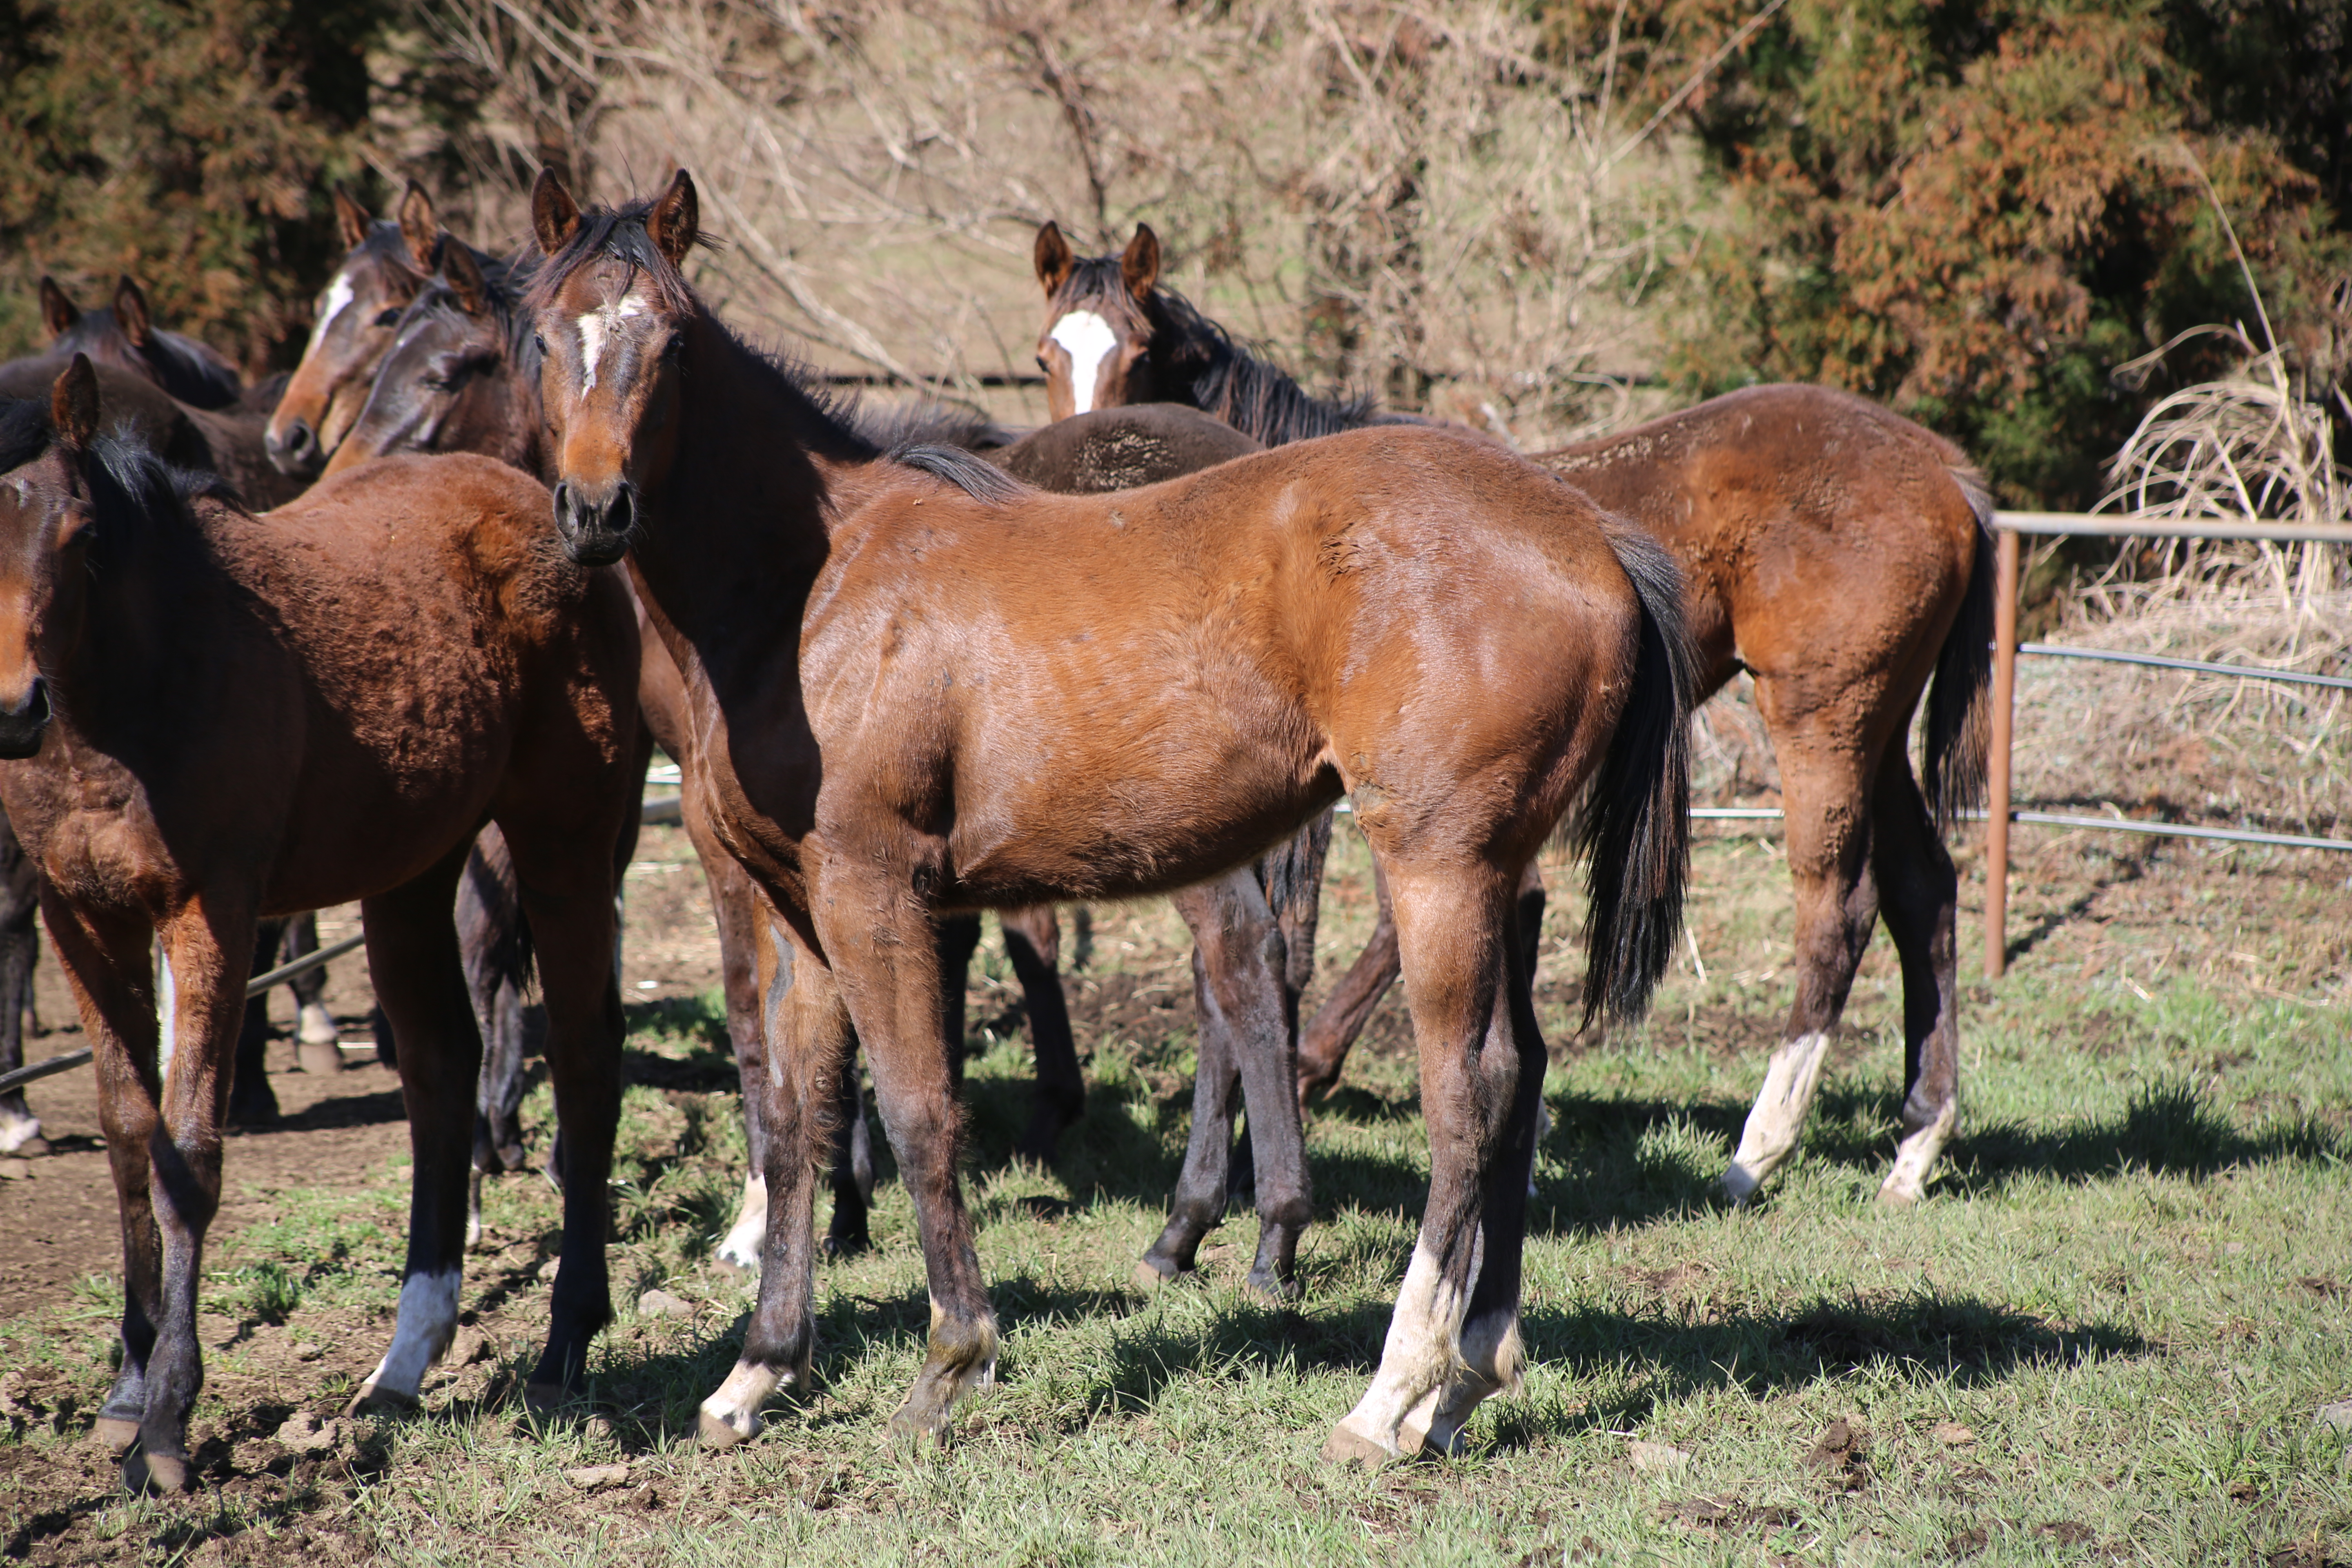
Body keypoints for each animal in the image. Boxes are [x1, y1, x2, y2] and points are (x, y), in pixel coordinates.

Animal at [0, 359, 644, 1495]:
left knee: (581, 1055)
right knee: (440, 1070)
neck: (140, 681)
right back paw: (405, 1360)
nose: (12, 708)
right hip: (413, 872)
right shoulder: (84, 919)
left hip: (563, 842)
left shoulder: (211, 914)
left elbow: (190, 1155)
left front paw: (167, 1422)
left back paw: (564, 1343)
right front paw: (125, 1390)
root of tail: (550, 512)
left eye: (78, 531)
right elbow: (129, 1138)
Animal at [522, 177, 1693, 1467]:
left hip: (1439, 864)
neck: (809, 590)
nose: (595, 509)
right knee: (1520, 1076)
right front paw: (760, 1370)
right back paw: (1469, 1374)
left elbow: (920, 1112)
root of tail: (1586, 530)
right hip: (1496, 870)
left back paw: (1392, 1392)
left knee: (1466, 1089)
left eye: (674, 343)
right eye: (542, 335)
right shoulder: (798, 910)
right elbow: (793, 1120)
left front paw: (952, 1363)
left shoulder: (873, 896)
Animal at [1039, 221, 1994, 1213]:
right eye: (1046, 353)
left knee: (1835, 907)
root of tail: (1944, 470)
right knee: (1923, 889)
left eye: (1137, 352)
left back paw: (1758, 1150)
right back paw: (1915, 1146)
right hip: (1879, 724)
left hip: (1821, 719)